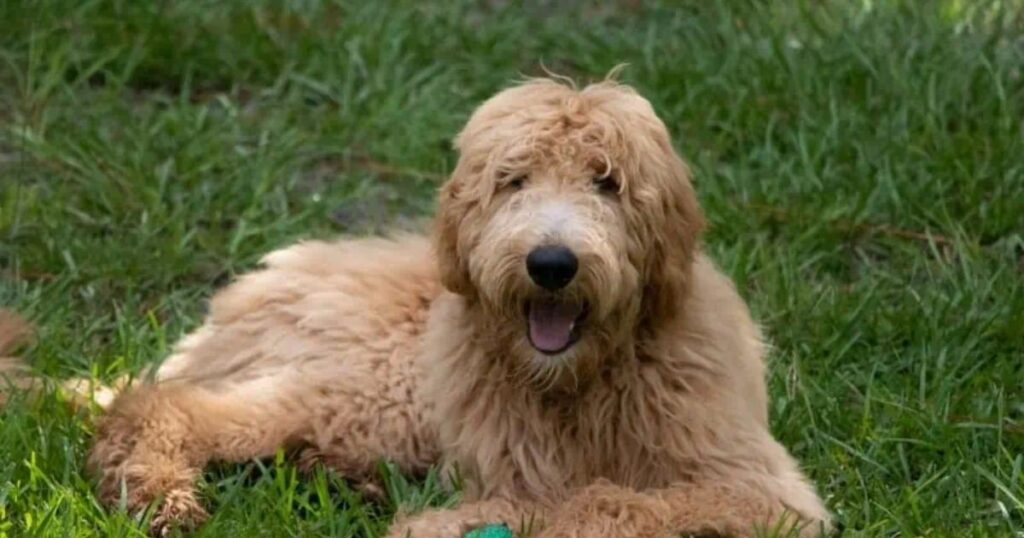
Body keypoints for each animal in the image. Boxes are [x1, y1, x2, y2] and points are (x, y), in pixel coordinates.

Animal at [88, 77, 827, 532]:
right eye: (514, 181)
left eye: (608, 182)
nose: (551, 264)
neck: (579, 383)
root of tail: (260, 285)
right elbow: (570, 498)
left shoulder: (760, 491)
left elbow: (604, 500)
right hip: (379, 391)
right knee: (160, 407)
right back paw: (157, 494)